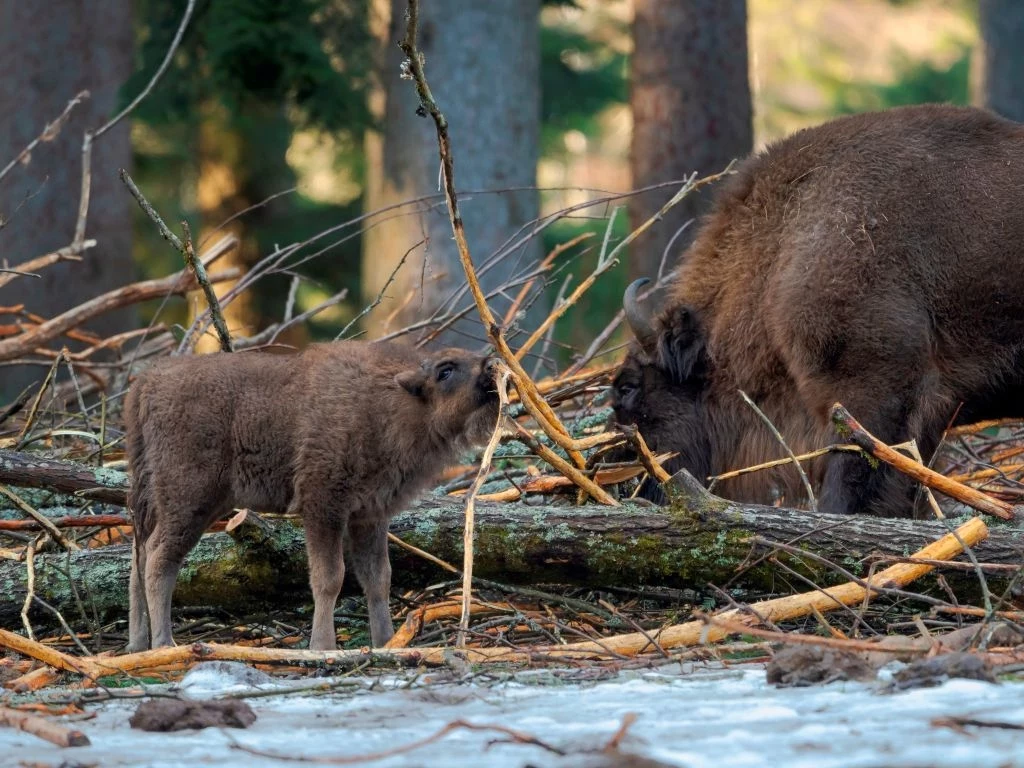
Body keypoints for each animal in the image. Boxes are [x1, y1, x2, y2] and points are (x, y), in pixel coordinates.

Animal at [123, 342, 499, 651]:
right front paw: (323, 646)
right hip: (189, 501)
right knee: (159, 561)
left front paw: (386, 642)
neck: (388, 400)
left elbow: (378, 578)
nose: (492, 365)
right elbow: (330, 577)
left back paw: (138, 645)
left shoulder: (369, 516)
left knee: (139, 558)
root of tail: (148, 380)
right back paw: (164, 643)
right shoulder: (324, 506)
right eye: (445, 370)